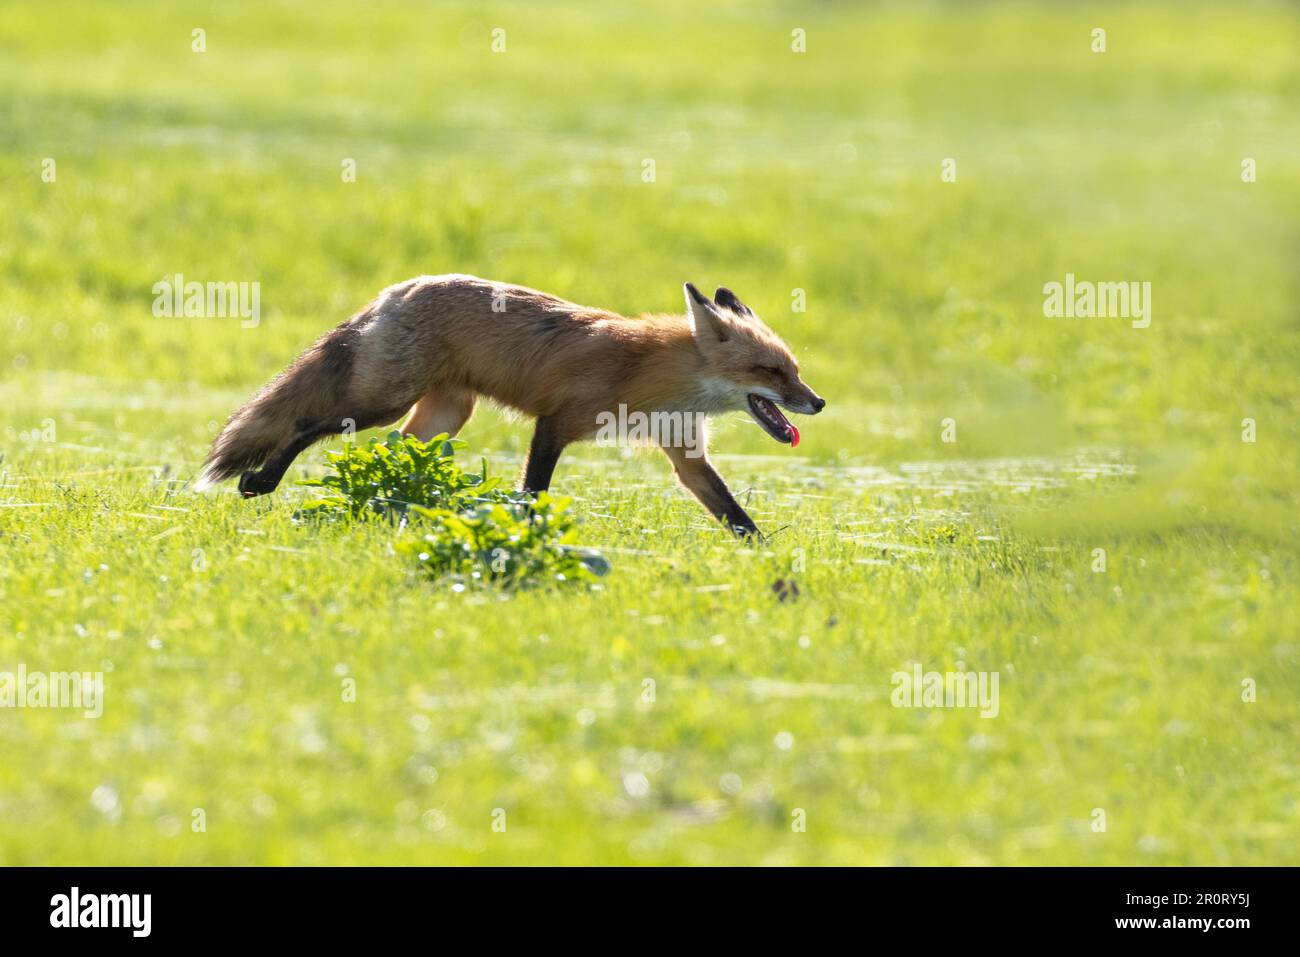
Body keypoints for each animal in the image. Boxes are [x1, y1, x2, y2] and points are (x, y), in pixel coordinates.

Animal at [195, 275, 825, 536]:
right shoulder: (555, 423)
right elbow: (534, 494)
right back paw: (260, 482)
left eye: (793, 369)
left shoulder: (685, 453)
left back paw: (394, 504)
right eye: (771, 372)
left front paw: (768, 558)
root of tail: (397, 289)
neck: (653, 372)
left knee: (392, 456)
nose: (817, 402)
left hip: (442, 419)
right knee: (308, 422)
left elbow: (734, 516)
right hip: (383, 401)